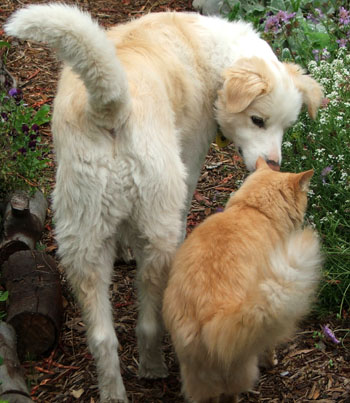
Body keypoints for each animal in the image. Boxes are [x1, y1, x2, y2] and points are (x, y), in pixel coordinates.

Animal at [163, 158, 322, 403]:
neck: (252, 209)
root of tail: (210, 313)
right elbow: (269, 348)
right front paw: (272, 362)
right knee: (231, 394)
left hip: (196, 377)